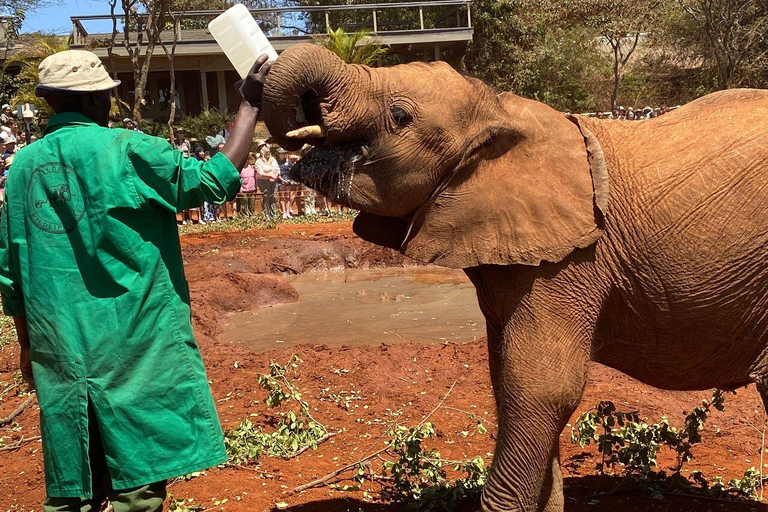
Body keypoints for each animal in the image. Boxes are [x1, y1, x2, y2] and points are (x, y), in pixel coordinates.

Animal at [262, 44, 768, 512]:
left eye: (400, 115)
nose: (298, 110)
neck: (500, 111)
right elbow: (506, 381)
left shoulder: (570, 261)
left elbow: (540, 389)